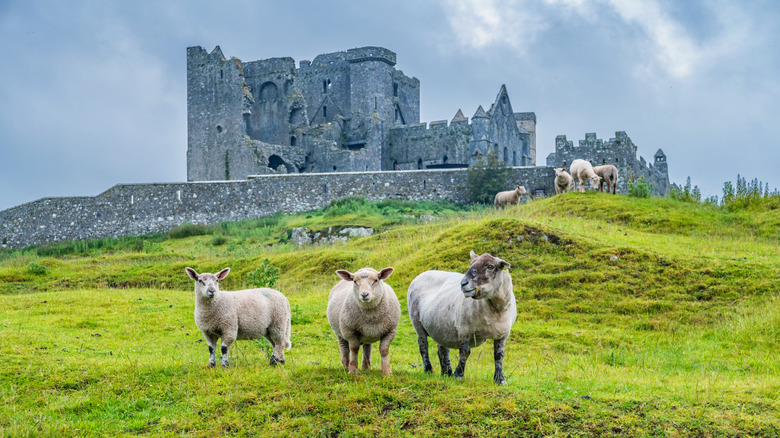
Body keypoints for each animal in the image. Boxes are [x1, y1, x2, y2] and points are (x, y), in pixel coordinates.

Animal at [408, 252, 516, 384]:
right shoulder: (465, 329)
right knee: (423, 346)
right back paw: (429, 370)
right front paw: (458, 375)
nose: (463, 283)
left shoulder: (503, 334)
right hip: (417, 323)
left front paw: (500, 379)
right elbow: (465, 352)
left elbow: (499, 355)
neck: (495, 310)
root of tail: (423, 273)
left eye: (490, 266)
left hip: (441, 327)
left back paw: (446, 372)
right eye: (471, 264)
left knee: (442, 349)